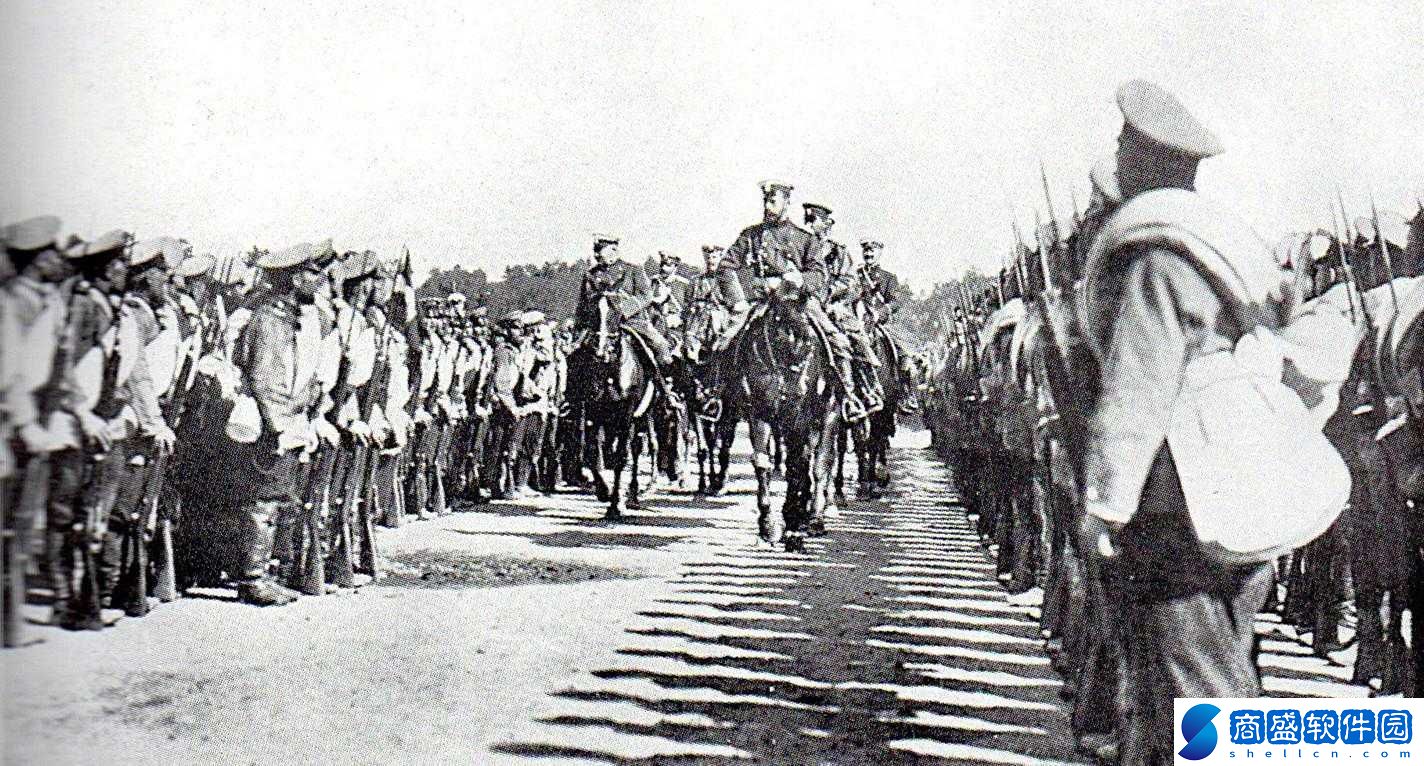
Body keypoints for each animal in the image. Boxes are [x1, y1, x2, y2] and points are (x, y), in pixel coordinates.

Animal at [734, 291, 843, 549]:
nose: (798, 390)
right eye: (778, 337)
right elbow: (762, 462)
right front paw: (768, 525)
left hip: (828, 416)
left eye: (810, 341)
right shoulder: (760, 413)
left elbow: (797, 466)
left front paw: (792, 523)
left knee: (820, 464)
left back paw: (815, 518)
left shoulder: (800, 418)